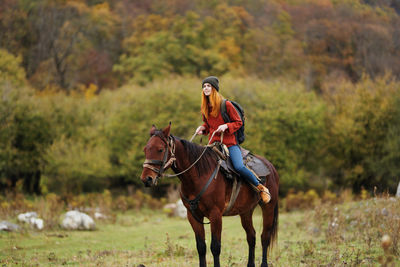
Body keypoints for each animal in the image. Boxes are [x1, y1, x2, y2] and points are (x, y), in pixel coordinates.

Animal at [140, 125, 278, 267]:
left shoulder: (215, 215)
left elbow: (215, 247)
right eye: (145, 149)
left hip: (268, 208)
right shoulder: (193, 216)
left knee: (265, 237)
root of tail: (271, 167)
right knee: (251, 236)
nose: (146, 179)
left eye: (160, 149)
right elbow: (201, 247)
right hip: (246, 211)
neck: (198, 176)